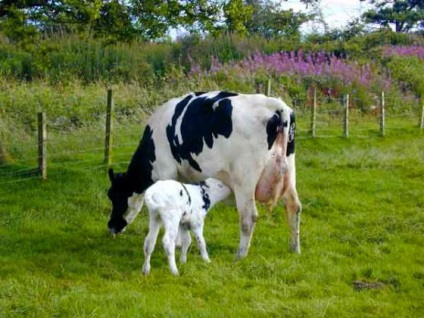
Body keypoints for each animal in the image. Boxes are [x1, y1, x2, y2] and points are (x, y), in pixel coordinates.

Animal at [107, 90, 304, 258]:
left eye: (114, 196)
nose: (111, 226)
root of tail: (277, 106)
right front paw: (180, 243)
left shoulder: (166, 171)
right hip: (290, 171)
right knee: (294, 206)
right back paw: (294, 249)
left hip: (244, 179)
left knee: (249, 217)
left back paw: (240, 255)